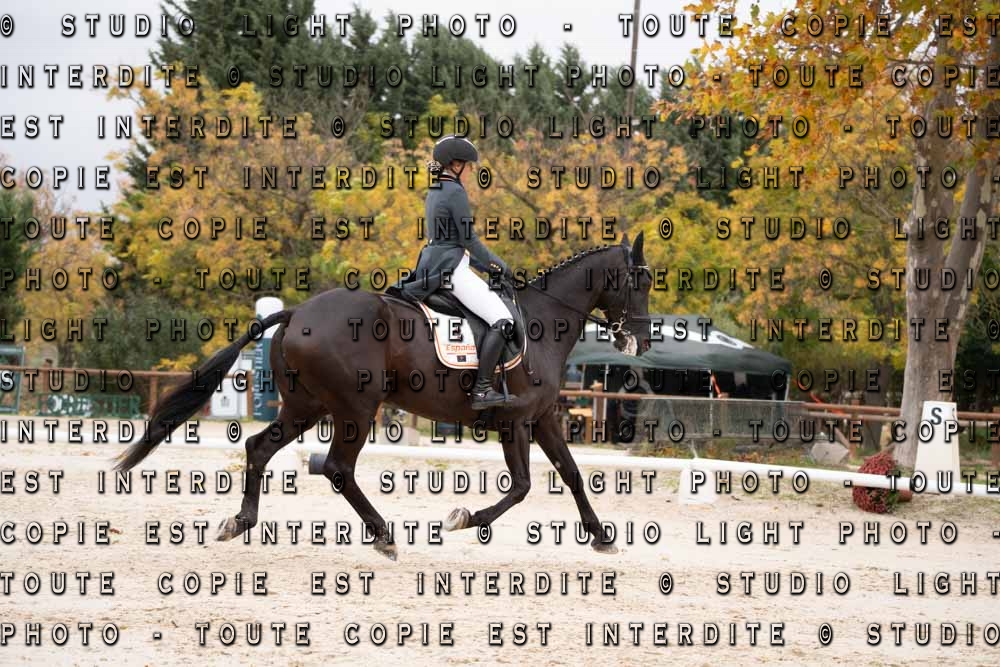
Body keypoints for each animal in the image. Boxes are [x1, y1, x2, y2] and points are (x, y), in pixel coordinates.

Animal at [114, 232, 653, 560]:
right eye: (641, 281)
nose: (642, 342)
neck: (542, 322)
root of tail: (296, 313)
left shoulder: (542, 419)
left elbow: (573, 474)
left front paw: (602, 538)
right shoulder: (515, 420)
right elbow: (521, 486)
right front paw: (462, 518)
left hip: (308, 406)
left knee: (259, 447)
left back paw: (241, 522)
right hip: (355, 406)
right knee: (337, 467)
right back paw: (385, 537)